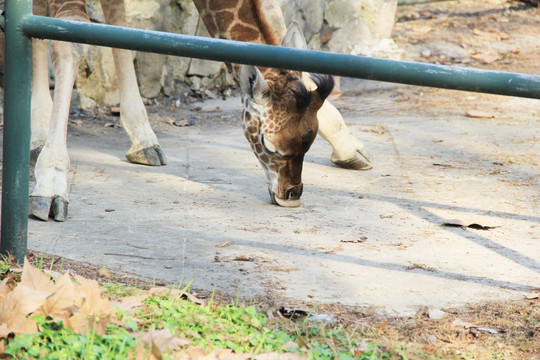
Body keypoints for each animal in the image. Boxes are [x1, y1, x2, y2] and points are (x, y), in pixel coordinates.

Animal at [28, 0, 372, 221]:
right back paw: (38, 140)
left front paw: (349, 146)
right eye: (268, 145)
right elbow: (69, 37)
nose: (291, 195)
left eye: (309, 143)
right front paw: (51, 188)